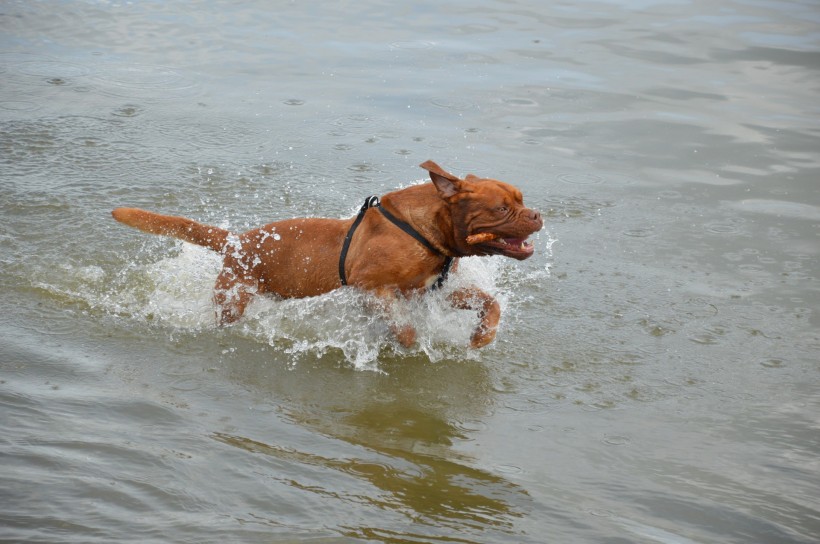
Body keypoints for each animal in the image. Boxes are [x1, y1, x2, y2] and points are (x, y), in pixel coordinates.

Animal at [110, 162, 544, 348]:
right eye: (502, 208)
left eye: (522, 199)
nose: (537, 214)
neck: (427, 230)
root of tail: (237, 241)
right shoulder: (374, 288)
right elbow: (404, 328)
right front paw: (405, 343)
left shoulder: (429, 291)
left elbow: (490, 303)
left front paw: (482, 336)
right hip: (233, 297)